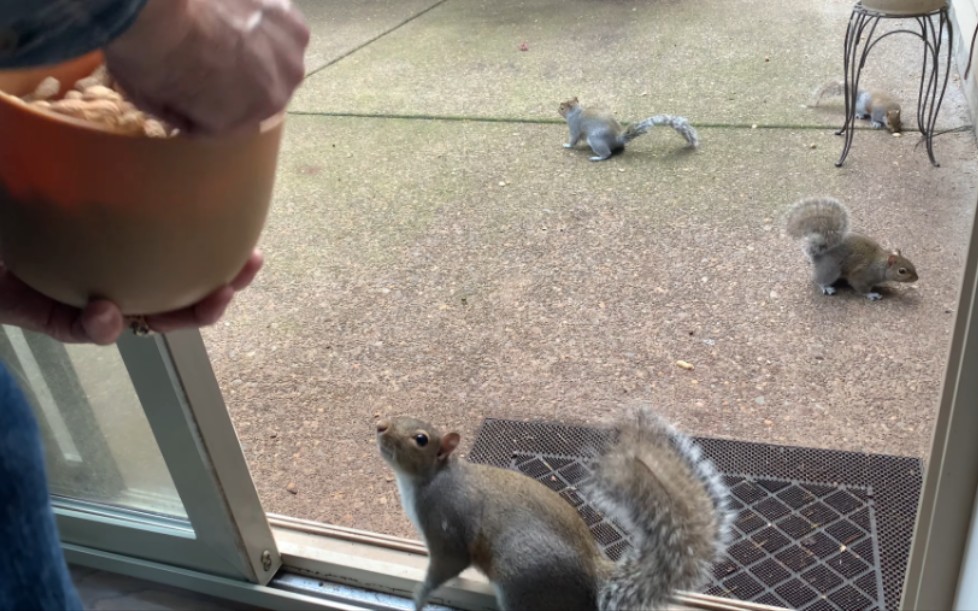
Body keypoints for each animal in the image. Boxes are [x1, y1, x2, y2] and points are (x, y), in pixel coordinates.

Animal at [374, 406, 732, 611]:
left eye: (421, 439)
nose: (381, 425)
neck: (428, 479)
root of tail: (593, 576)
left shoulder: (446, 523)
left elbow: (448, 563)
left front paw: (420, 596)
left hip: (522, 581)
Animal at [552, 97, 696, 161]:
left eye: (562, 108)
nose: (557, 110)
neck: (576, 112)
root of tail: (617, 140)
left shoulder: (574, 126)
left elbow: (573, 139)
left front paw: (567, 145)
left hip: (596, 139)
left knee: (607, 154)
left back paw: (597, 158)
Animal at [780, 196, 920, 302]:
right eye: (902, 271)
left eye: (911, 263)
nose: (917, 278)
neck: (880, 264)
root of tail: (819, 255)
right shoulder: (862, 275)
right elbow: (860, 287)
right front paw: (872, 294)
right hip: (831, 270)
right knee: (819, 280)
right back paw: (826, 287)